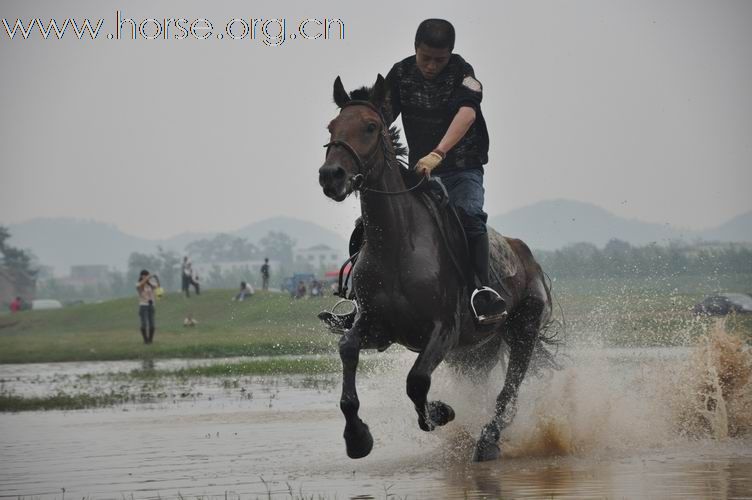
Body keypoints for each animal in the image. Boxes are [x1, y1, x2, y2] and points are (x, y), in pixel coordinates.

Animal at [314, 76, 556, 462]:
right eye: (331, 127)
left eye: (370, 126)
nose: (331, 176)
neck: (398, 244)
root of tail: (528, 258)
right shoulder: (376, 325)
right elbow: (348, 349)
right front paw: (357, 437)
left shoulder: (443, 329)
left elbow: (416, 382)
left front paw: (440, 412)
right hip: (474, 354)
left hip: (523, 331)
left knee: (508, 393)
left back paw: (487, 441)